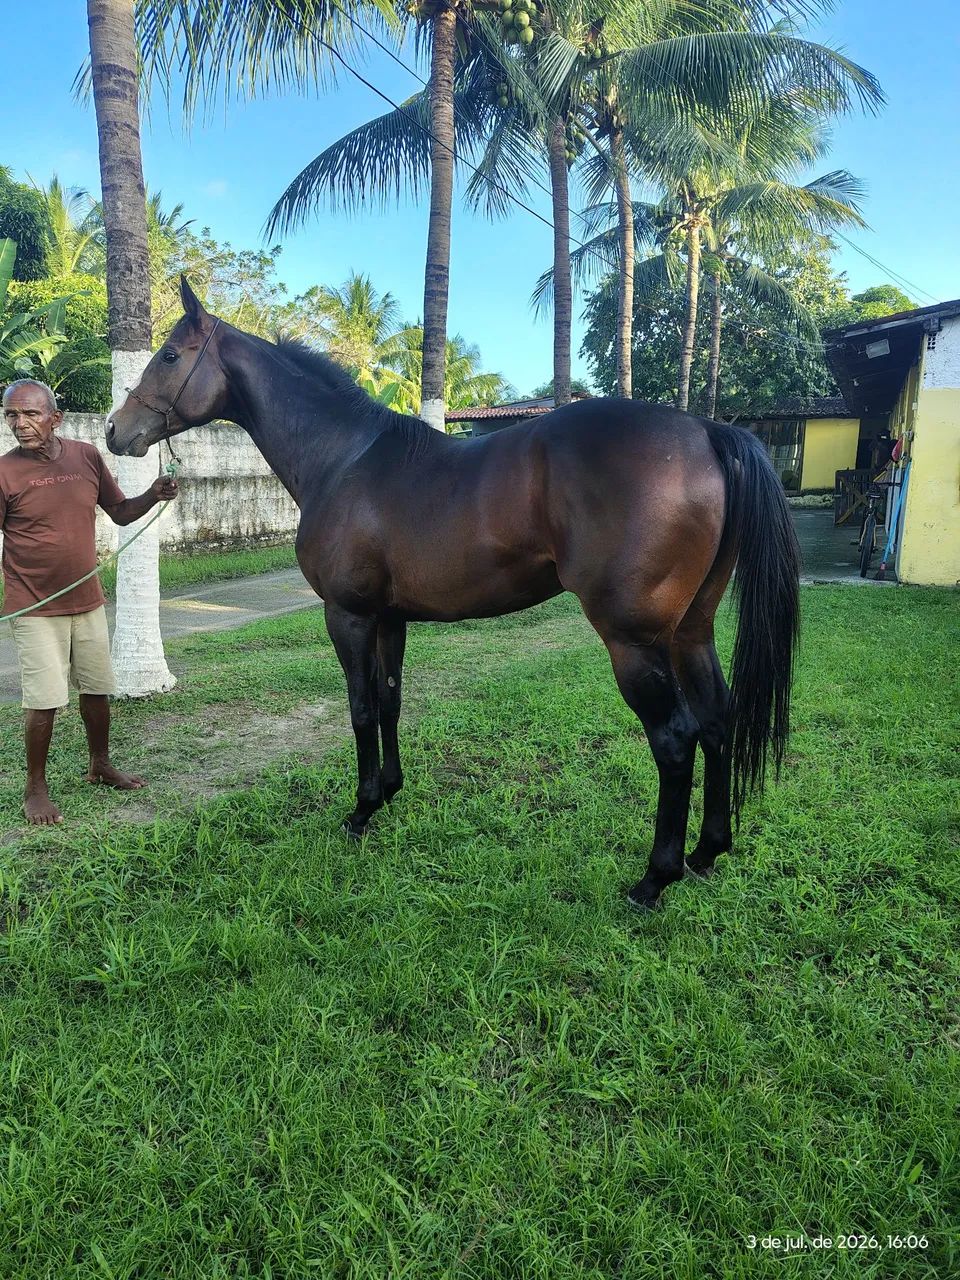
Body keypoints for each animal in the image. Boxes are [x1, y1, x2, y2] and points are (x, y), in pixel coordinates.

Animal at [107, 277, 800, 910]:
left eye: (170, 355)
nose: (116, 430)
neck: (344, 458)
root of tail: (706, 432)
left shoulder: (348, 616)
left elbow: (360, 708)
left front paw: (359, 811)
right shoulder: (390, 619)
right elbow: (389, 702)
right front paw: (388, 792)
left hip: (634, 642)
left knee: (676, 740)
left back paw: (655, 879)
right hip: (690, 632)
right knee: (717, 720)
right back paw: (708, 851)